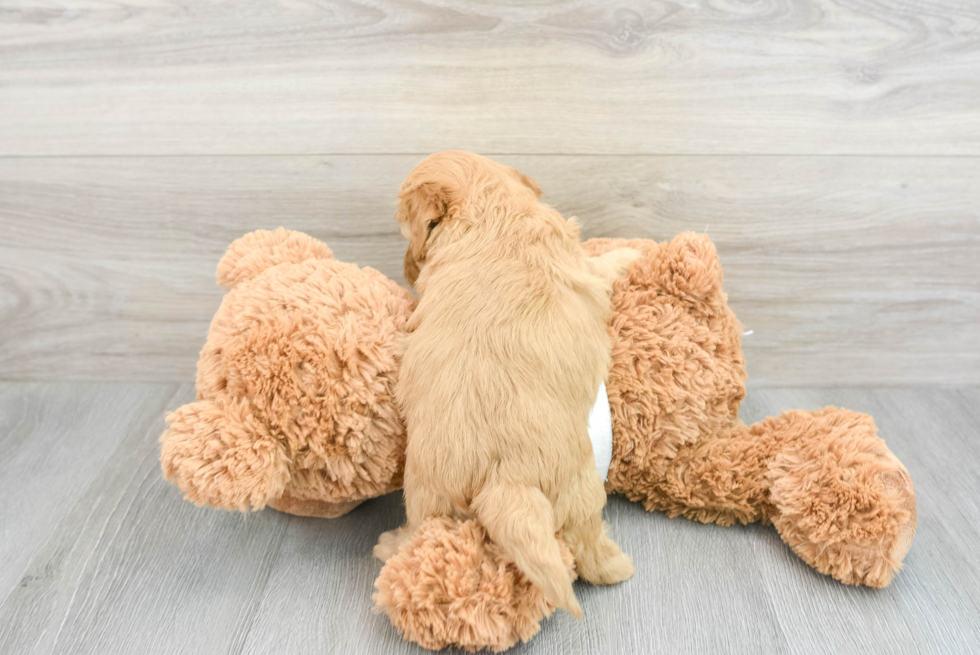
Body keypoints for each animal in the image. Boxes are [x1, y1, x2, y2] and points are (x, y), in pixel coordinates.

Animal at [374, 151, 636, 616]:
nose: (407, 267)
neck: (491, 207)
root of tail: (503, 477)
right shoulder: (580, 260)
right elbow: (602, 265)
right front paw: (630, 252)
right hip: (581, 489)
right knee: (586, 543)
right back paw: (617, 567)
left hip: (428, 494)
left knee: (421, 529)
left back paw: (391, 546)